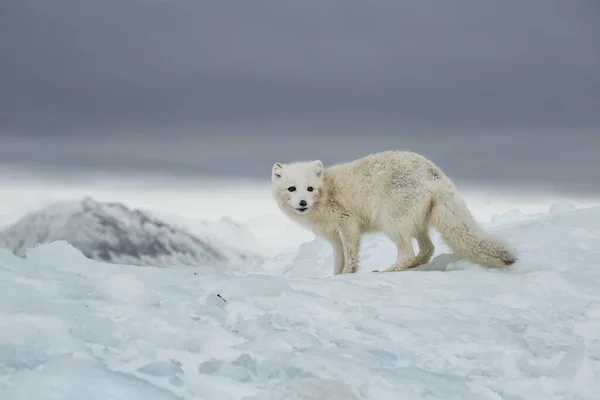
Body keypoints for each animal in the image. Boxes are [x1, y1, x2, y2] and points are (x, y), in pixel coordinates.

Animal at [270, 150, 516, 276]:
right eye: (292, 189)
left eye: (310, 189)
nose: (302, 203)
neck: (327, 190)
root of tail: (433, 172)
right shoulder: (334, 238)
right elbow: (338, 261)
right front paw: (336, 277)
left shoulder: (348, 225)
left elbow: (350, 257)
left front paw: (348, 275)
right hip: (416, 223)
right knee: (427, 249)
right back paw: (413, 267)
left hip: (392, 222)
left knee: (408, 253)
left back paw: (386, 271)